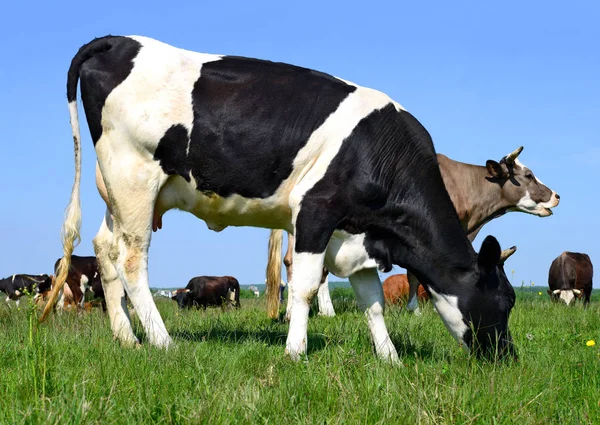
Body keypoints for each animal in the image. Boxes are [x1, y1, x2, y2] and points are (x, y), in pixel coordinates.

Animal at [43, 34, 520, 362]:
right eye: (506, 300)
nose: (508, 358)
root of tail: (120, 40)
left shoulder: (358, 236)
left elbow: (373, 301)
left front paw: (390, 359)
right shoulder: (315, 210)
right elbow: (305, 288)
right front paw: (295, 352)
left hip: (117, 192)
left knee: (105, 249)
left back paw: (127, 339)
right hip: (134, 180)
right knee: (131, 261)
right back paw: (163, 341)